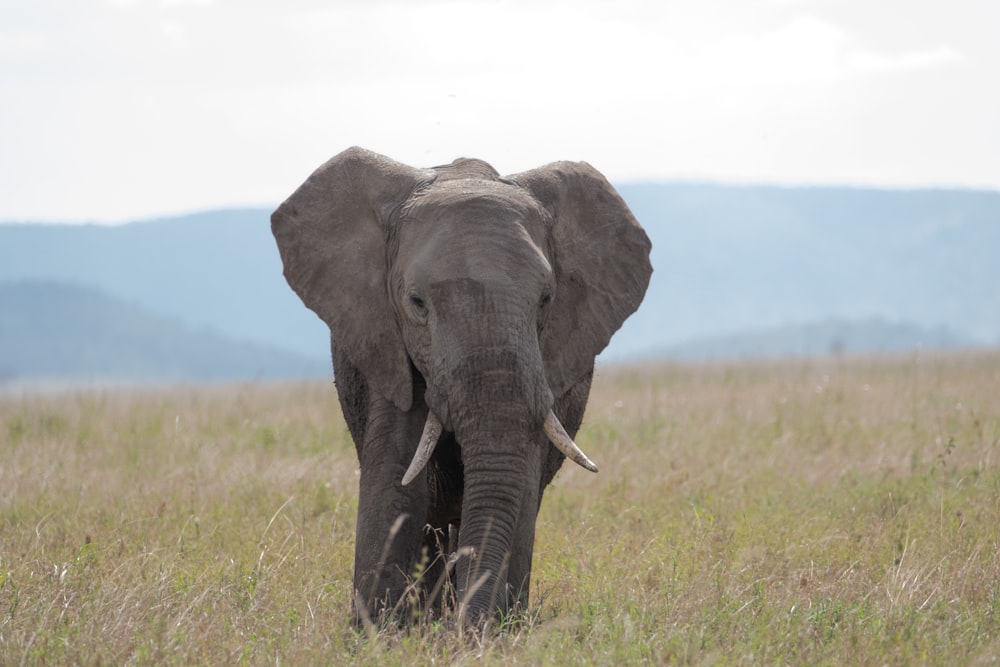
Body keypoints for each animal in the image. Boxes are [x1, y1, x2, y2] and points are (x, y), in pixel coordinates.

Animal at [270, 145, 652, 628]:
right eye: (416, 302)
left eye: (546, 300)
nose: (470, 629)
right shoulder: (384, 339)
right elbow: (398, 468)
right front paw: (379, 630)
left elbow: (520, 476)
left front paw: (497, 628)